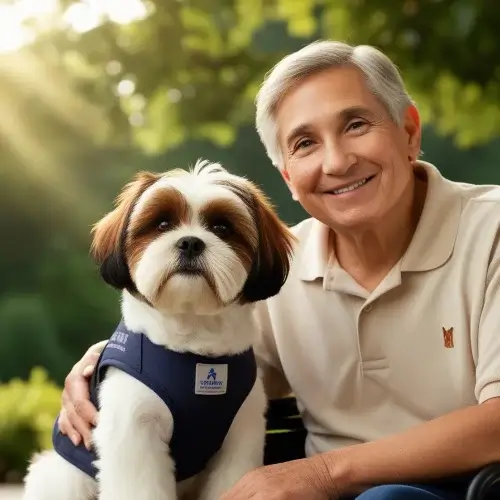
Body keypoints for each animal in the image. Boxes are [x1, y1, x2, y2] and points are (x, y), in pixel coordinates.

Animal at [23, 160, 294, 500]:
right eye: (162, 224)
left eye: (222, 228)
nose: (190, 241)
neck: (193, 342)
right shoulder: (134, 431)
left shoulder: (240, 435)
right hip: (66, 479)